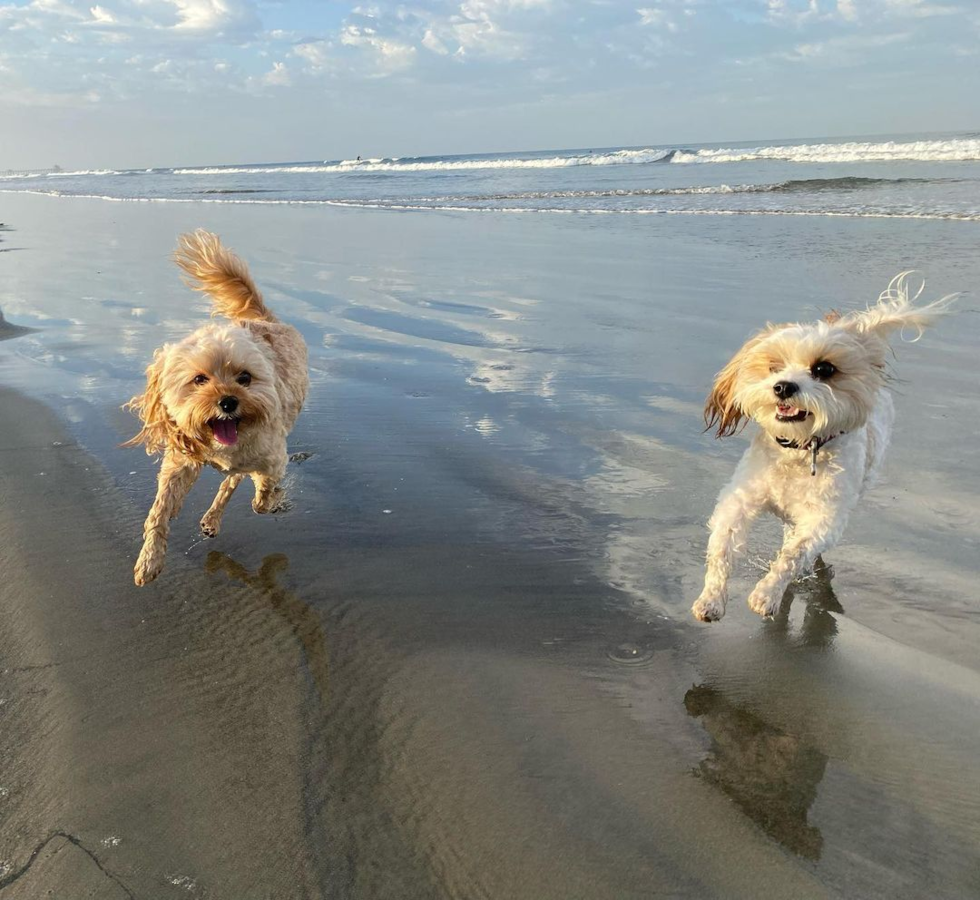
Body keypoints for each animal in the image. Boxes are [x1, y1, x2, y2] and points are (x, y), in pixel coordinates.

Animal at [124, 229, 306, 588]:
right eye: (199, 379)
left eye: (245, 377)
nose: (228, 401)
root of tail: (259, 319)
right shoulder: (180, 461)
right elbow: (159, 510)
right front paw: (149, 559)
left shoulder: (272, 458)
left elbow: (262, 495)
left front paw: (274, 501)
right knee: (227, 480)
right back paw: (210, 516)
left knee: (235, 480)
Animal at [692, 274, 952, 624]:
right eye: (774, 366)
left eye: (824, 370)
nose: (783, 386)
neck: (799, 450)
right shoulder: (740, 499)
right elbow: (723, 544)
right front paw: (712, 598)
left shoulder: (824, 518)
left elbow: (795, 552)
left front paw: (767, 593)